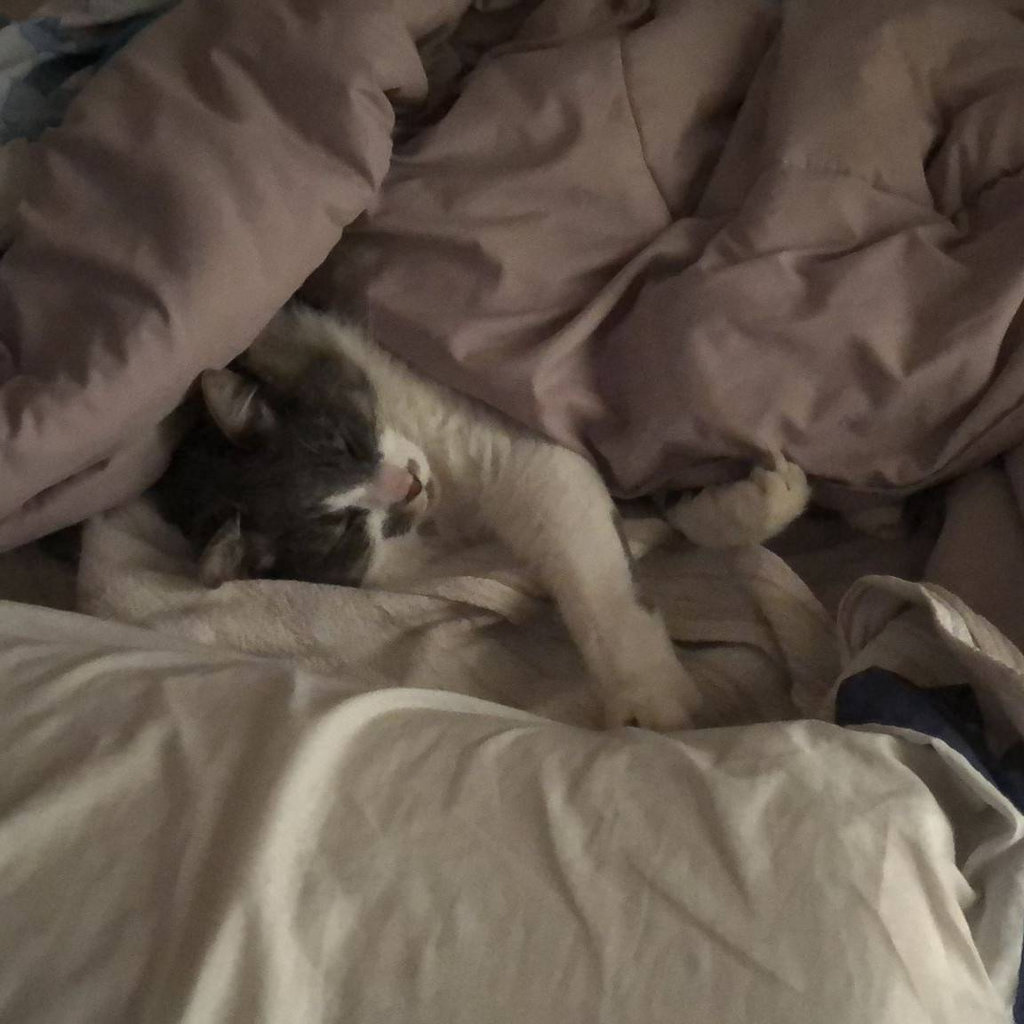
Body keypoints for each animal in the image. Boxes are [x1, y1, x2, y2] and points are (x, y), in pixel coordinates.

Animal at [155, 306, 809, 731]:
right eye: (344, 530)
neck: (450, 509)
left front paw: (649, 691)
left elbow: (605, 582)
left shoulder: (531, 455)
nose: (409, 484)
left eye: (349, 442)